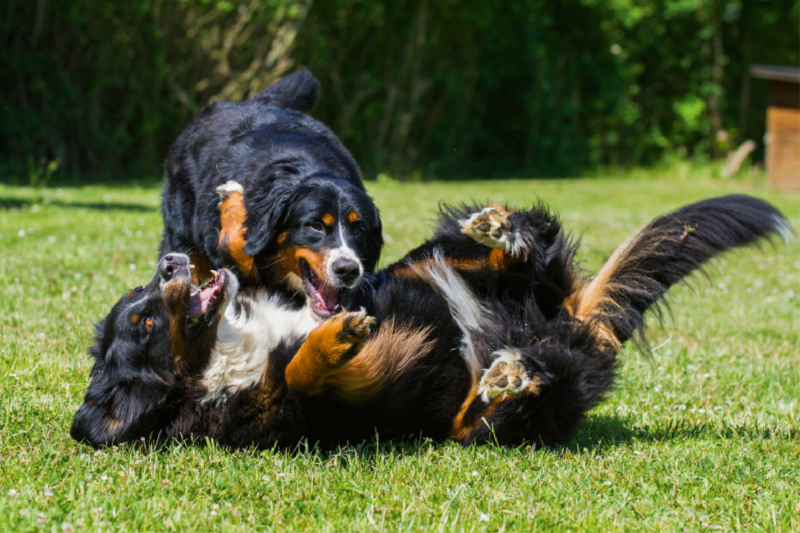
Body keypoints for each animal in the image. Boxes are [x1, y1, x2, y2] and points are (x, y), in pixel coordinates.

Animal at [70, 191, 788, 448]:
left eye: (138, 300)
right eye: (142, 323)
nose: (170, 262)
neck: (224, 353)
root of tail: (559, 323)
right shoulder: (308, 412)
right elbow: (301, 371)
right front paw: (337, 337)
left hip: (432, 265)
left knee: (513, 252)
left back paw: (501, 233)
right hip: (487, 419)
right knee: (508, 399)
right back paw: (512, 374)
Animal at [160, 68, 382, 318]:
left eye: (359, 229)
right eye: (315, 226)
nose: (348, 269)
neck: (307, 166)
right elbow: (237, 244)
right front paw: (232, 198)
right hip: (182, 236)